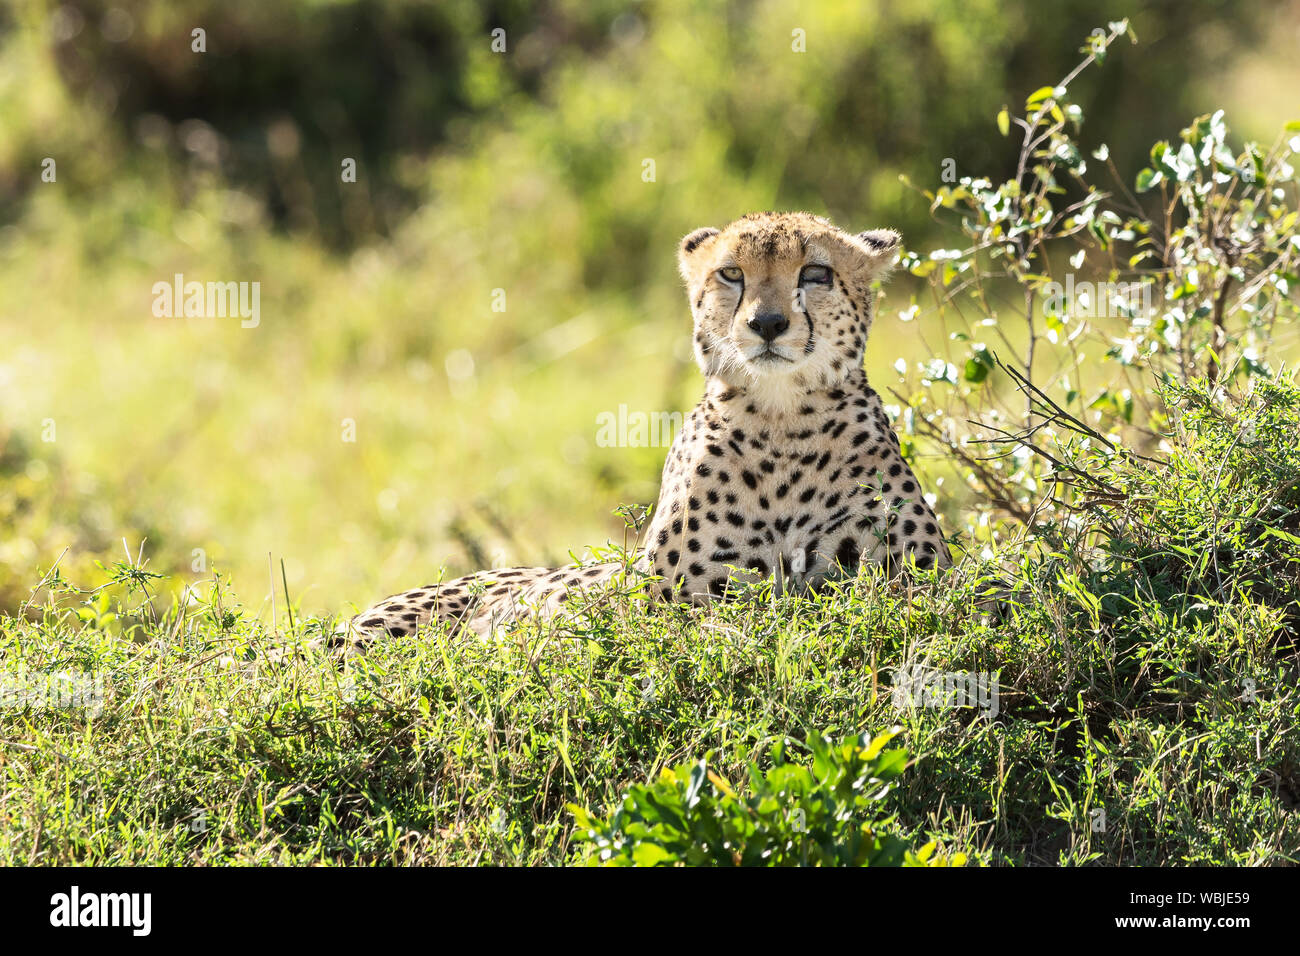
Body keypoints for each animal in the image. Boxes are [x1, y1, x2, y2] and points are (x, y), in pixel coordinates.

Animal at [351, 213, 951, 647]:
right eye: (731, 274)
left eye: (815, 274)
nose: (767, 324)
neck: (781, 420)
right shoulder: (674, 605)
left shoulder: (918, 579)